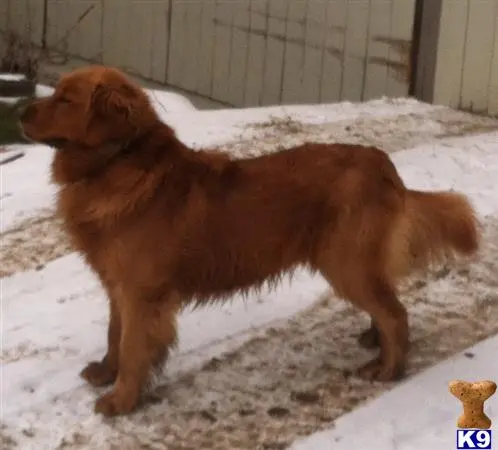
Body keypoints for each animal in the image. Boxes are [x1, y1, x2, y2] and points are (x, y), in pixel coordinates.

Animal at [18, 65, 478, 416]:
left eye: (65, 100)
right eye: (55, 92)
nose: (21, 111)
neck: (118, 163)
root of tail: (383, 164)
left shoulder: (142, 294)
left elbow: (133, 348)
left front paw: (121, 400)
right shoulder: (119, 286)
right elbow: (115, 336)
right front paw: (105, 373)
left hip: (345, 263)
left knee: (396, 313)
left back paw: (389, 368)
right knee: (386, 304)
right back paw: (375, 343)